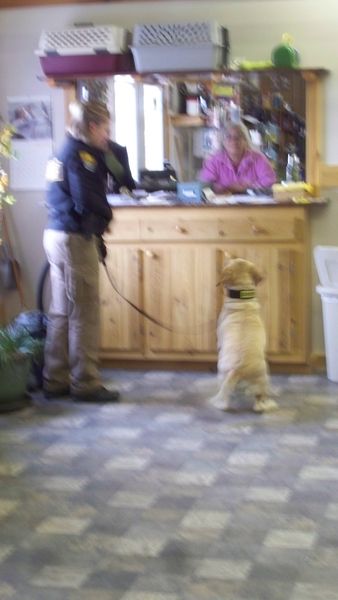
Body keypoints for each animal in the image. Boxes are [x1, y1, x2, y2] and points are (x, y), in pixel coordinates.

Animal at [211, 255, 278, 414]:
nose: (228, 256)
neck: (242, 298)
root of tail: (238, 370)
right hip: (263, 374)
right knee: (259, 401)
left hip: (221, 372)